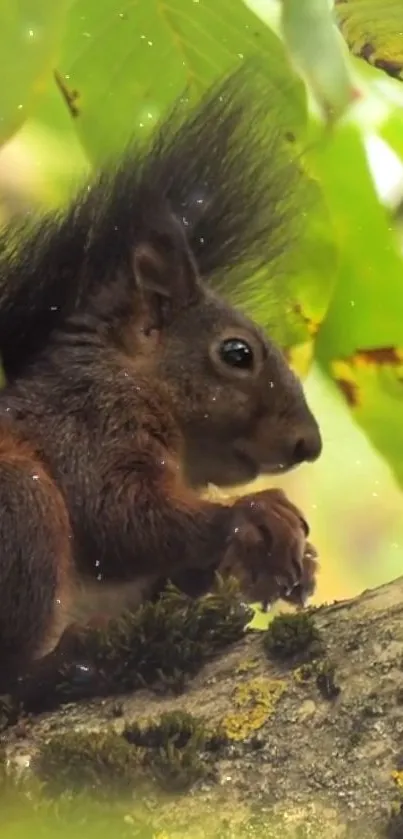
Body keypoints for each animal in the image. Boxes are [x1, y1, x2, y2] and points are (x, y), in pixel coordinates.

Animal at [0, 67, 324, 688]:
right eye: (237, 353)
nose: (309, 445)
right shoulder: (88, 420)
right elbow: (117, 513)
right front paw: (254, 515)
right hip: (20, 504)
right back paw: (67, 661)